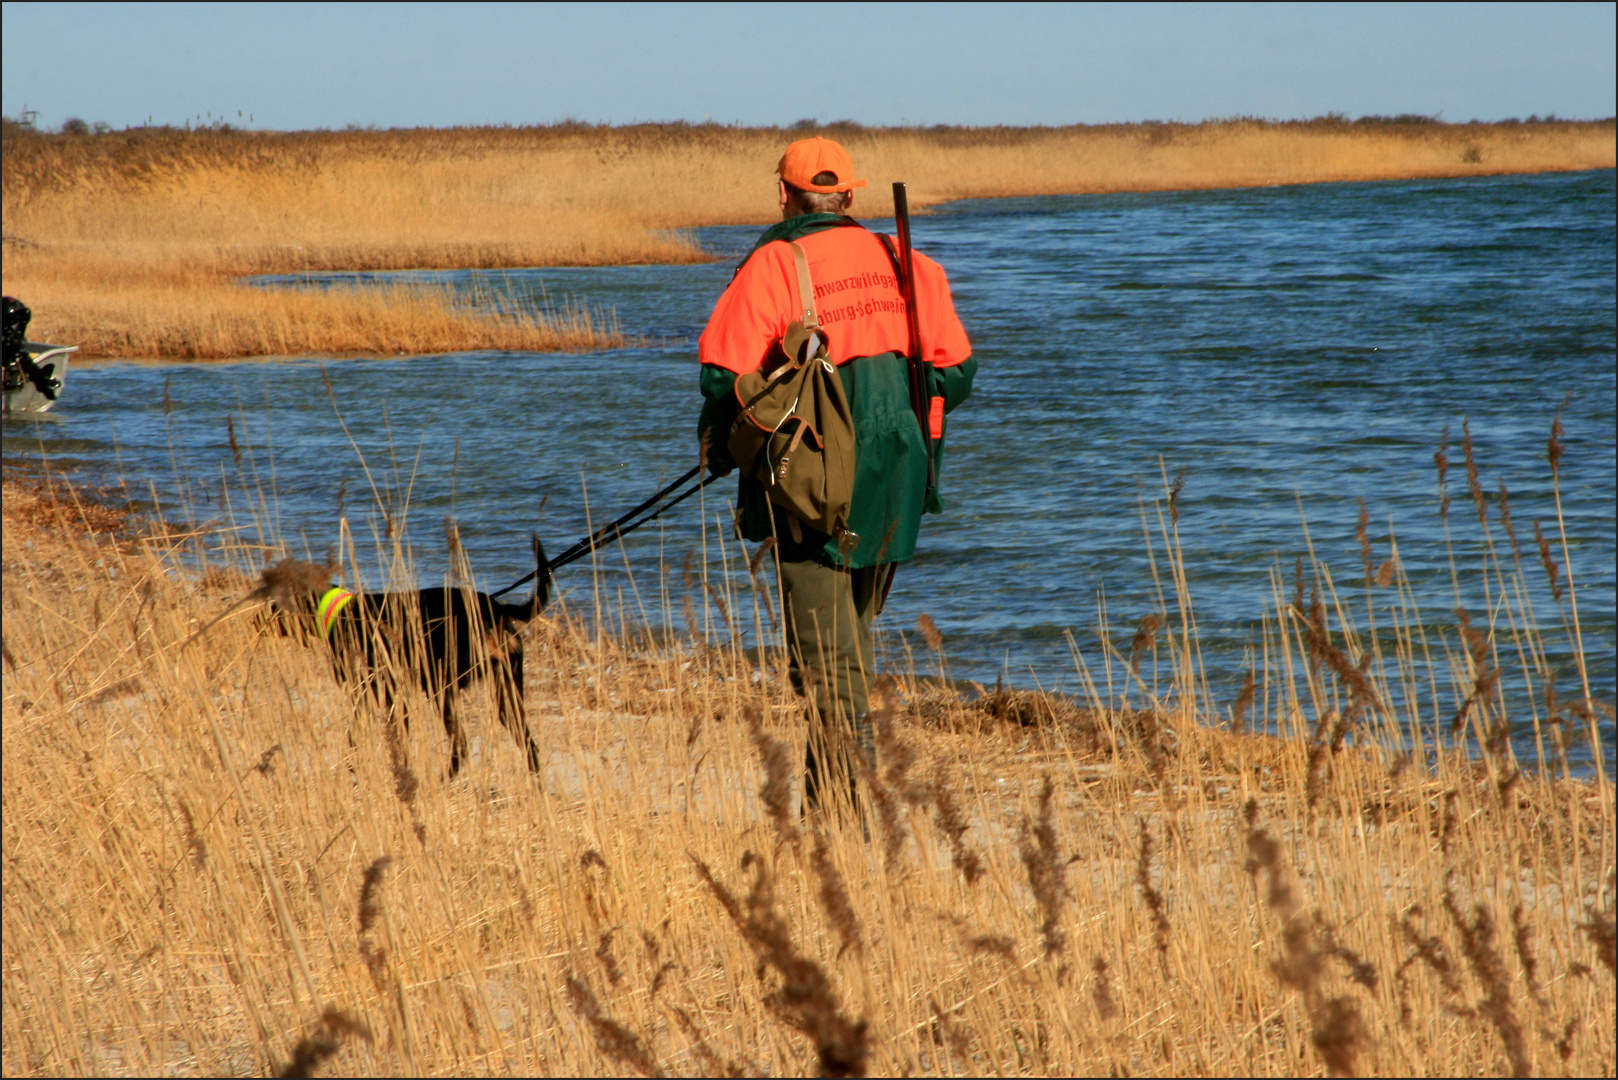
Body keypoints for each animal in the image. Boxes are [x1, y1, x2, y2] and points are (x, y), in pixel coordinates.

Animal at [254, 540, 550, 777]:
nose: (257, 619)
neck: (341, 613)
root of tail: (495, 609)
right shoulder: (383, 697)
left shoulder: (381, 695)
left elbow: (369, 739)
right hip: (506, 693)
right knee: (529, 745)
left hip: (442, 688)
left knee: (462, 745)